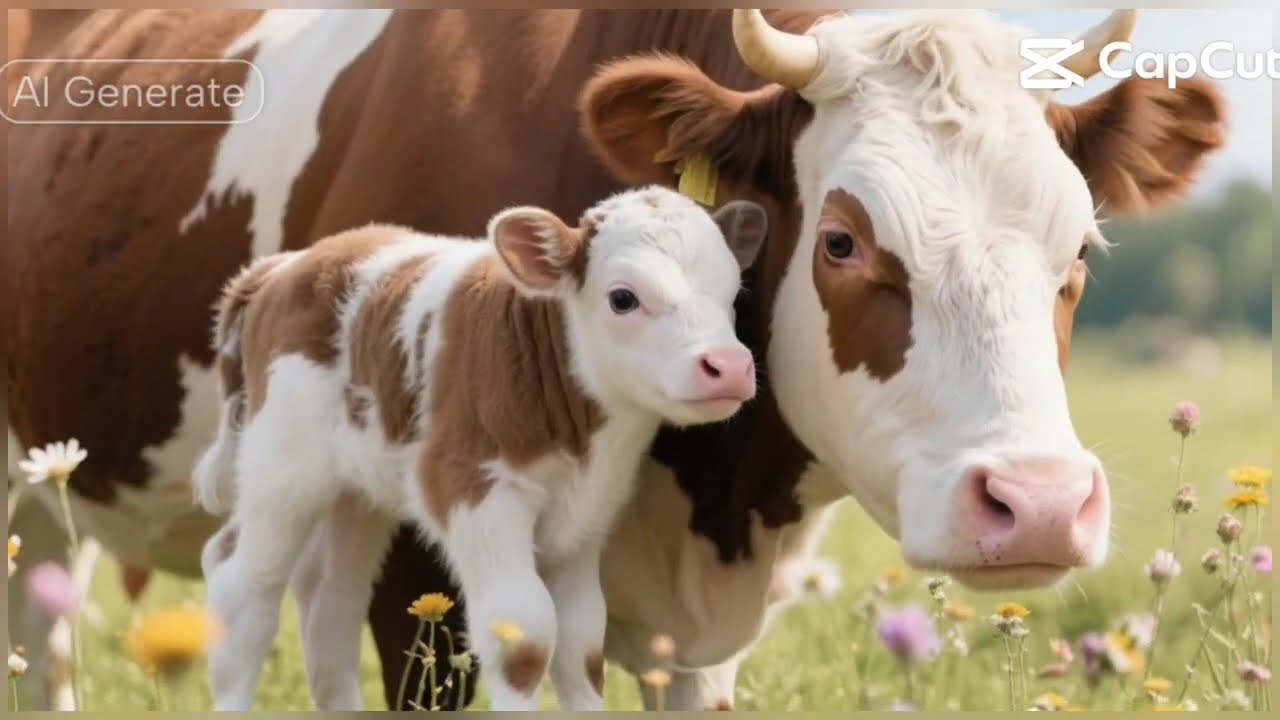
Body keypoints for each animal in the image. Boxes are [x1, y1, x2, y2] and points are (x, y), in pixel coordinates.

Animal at [194, 188, 767, 710]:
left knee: (332, 604)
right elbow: (524, 637)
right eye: (623, 298)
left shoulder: (588, 514)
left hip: (357, 491)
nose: (728, 366)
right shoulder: (475, 489)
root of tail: (281, 268)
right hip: (282, 467)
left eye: (732, 291)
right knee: (242, 584)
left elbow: (582, 644)